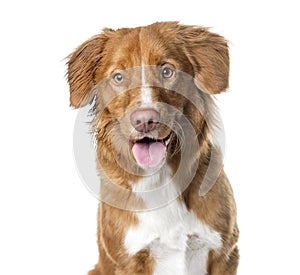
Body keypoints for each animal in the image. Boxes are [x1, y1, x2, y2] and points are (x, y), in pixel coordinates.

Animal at [67, 21, 239, 275]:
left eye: (167, 71)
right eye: (118, 77)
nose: (145, 120)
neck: (160, 178)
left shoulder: (224, 253)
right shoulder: (128, 261)